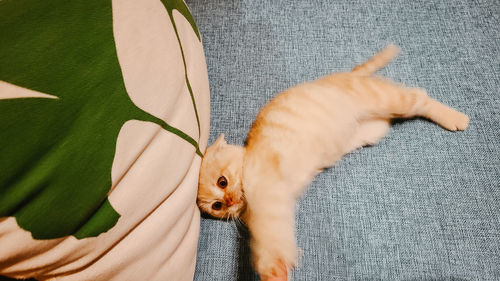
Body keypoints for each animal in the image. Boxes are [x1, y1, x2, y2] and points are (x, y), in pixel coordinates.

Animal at [196, 44, 468, 278]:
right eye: (217, 207)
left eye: (222, 182)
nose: (229, 201)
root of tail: (344, 75)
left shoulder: (267, 190)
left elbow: (269, 237)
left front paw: (272, 270)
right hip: (372, 128)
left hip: (384, 98)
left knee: (419, 97)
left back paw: (455, 118)